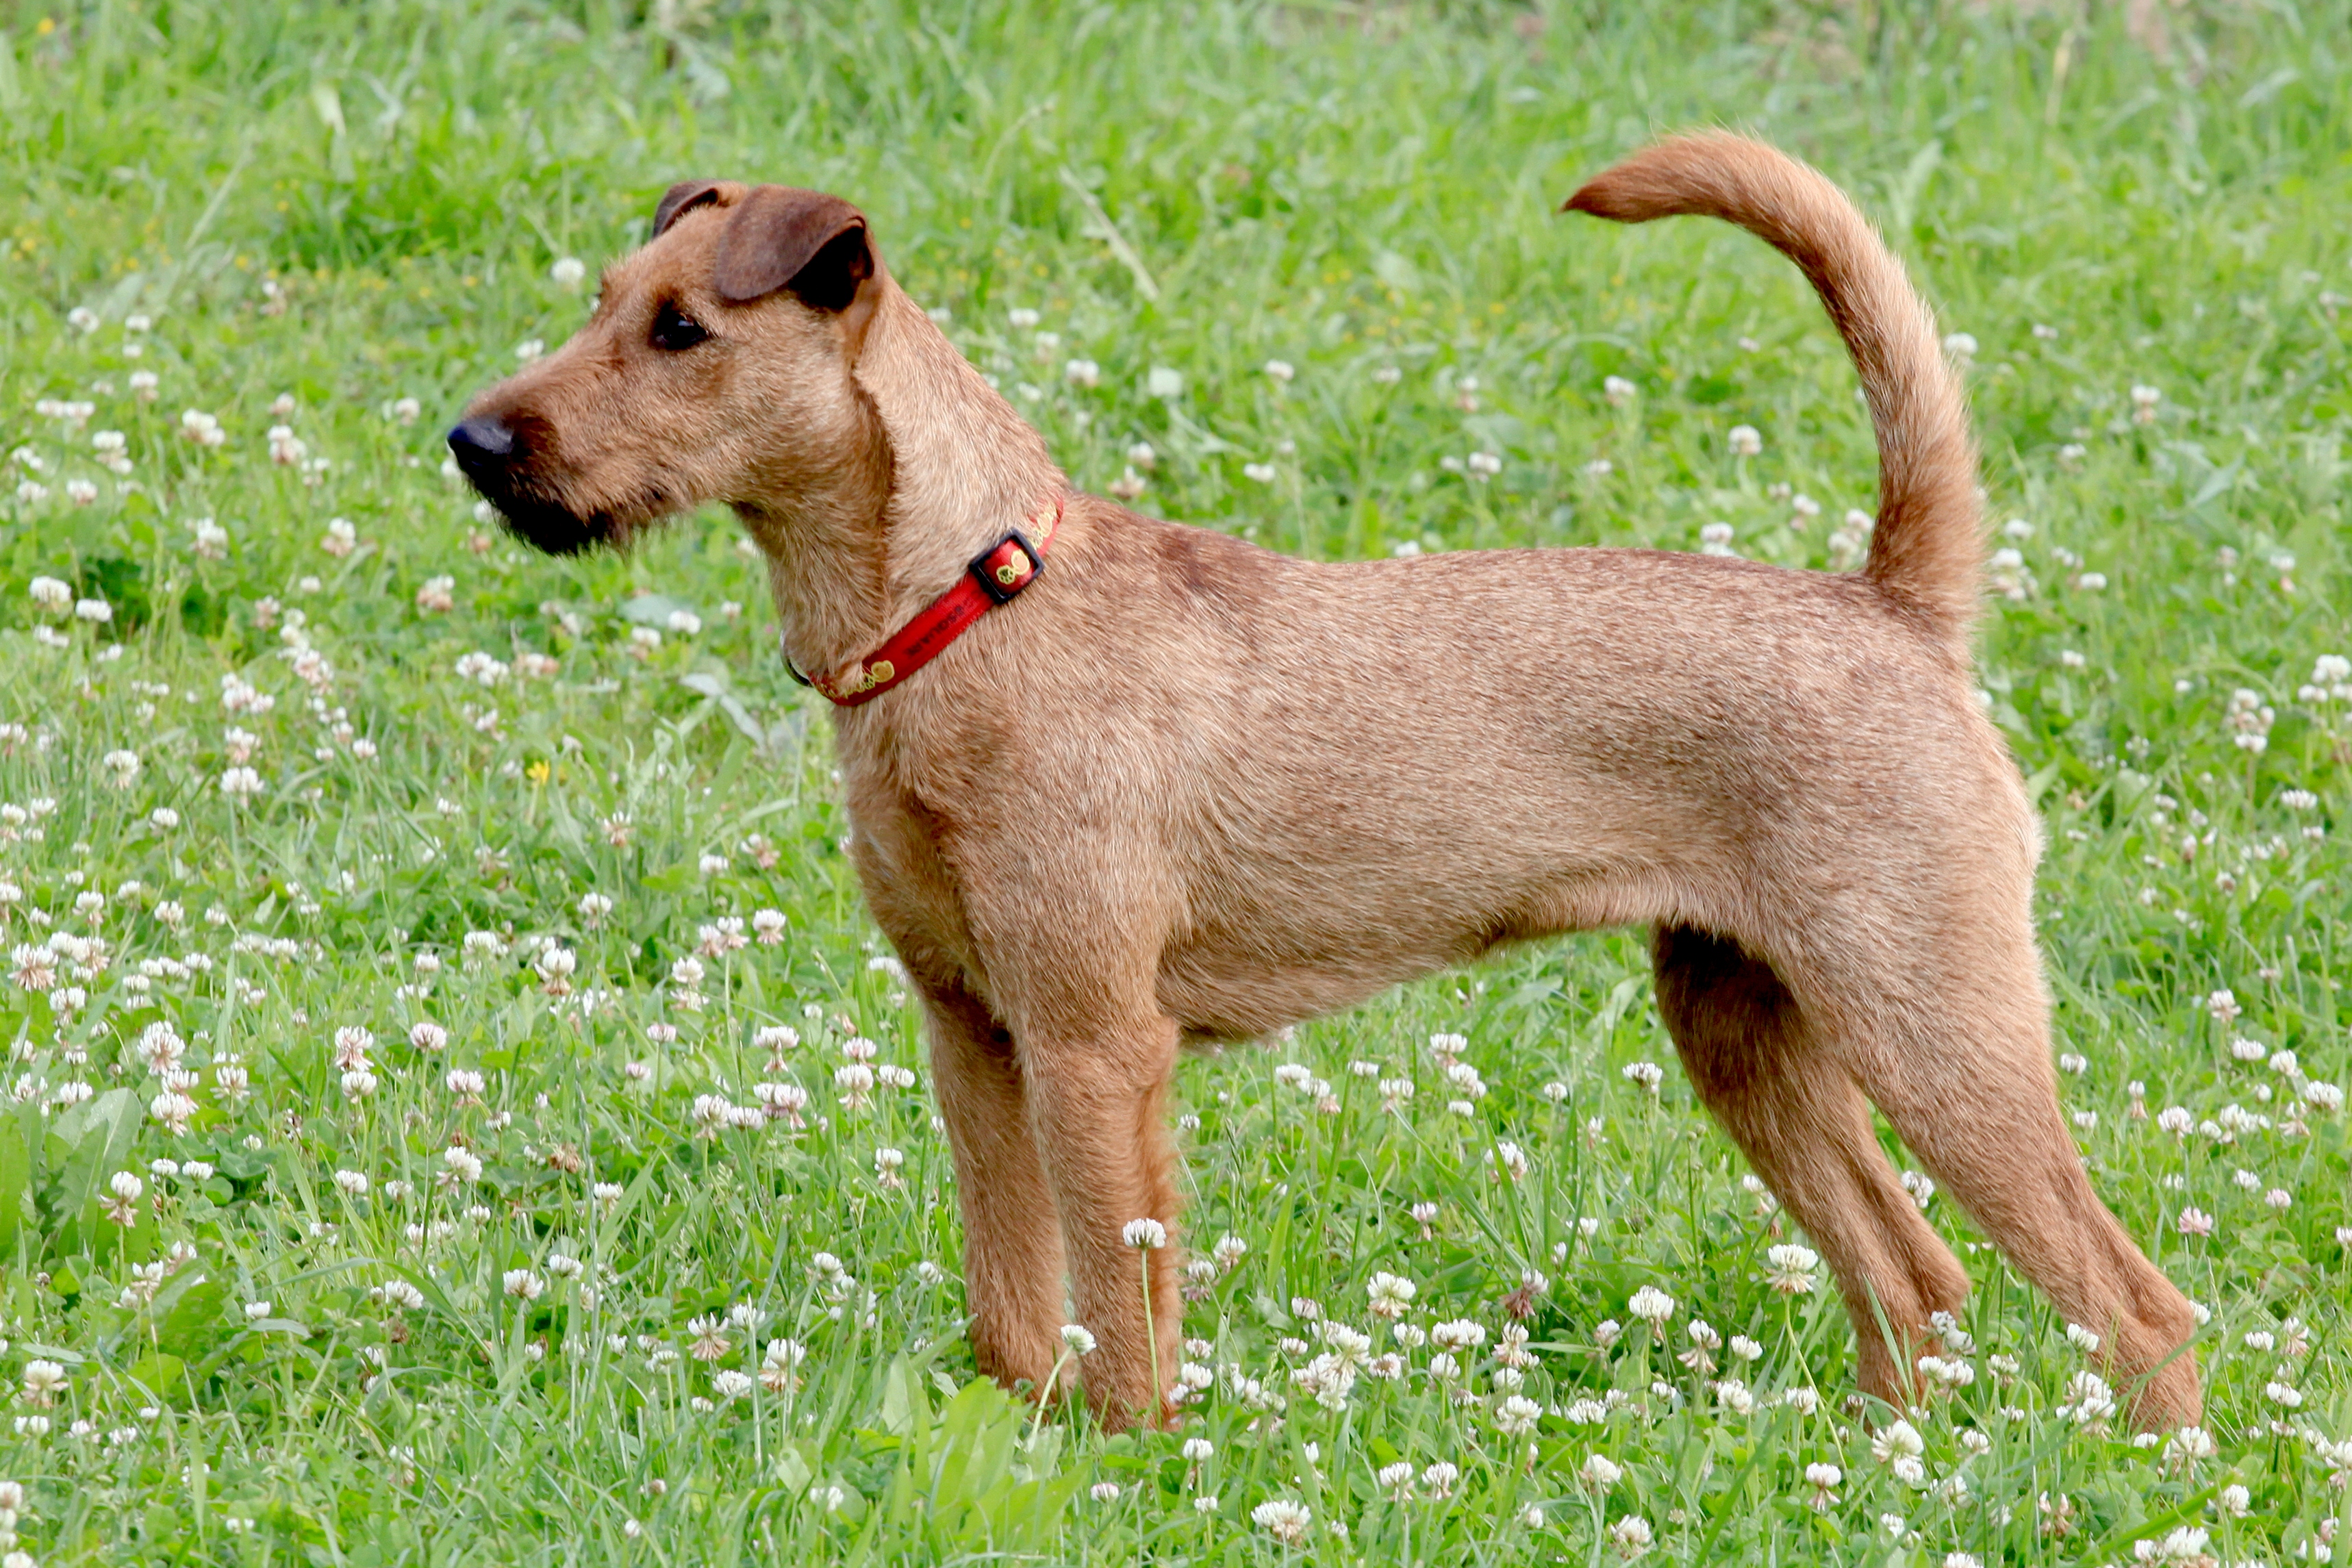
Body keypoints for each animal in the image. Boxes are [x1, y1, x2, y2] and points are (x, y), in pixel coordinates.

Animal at [453, 135, 2201, 1439]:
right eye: (604, 301)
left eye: (682, 331)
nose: (475, 440)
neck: (966, 605)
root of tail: (1891, 604)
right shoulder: (970, 1036)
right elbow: (1013, 1311)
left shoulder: (1093, 1049)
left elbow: (1121, 1313)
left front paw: (1128, 1471)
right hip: (1742, 1030)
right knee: (1914, 1280)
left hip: (1936, 1034)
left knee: (2137, 1306)